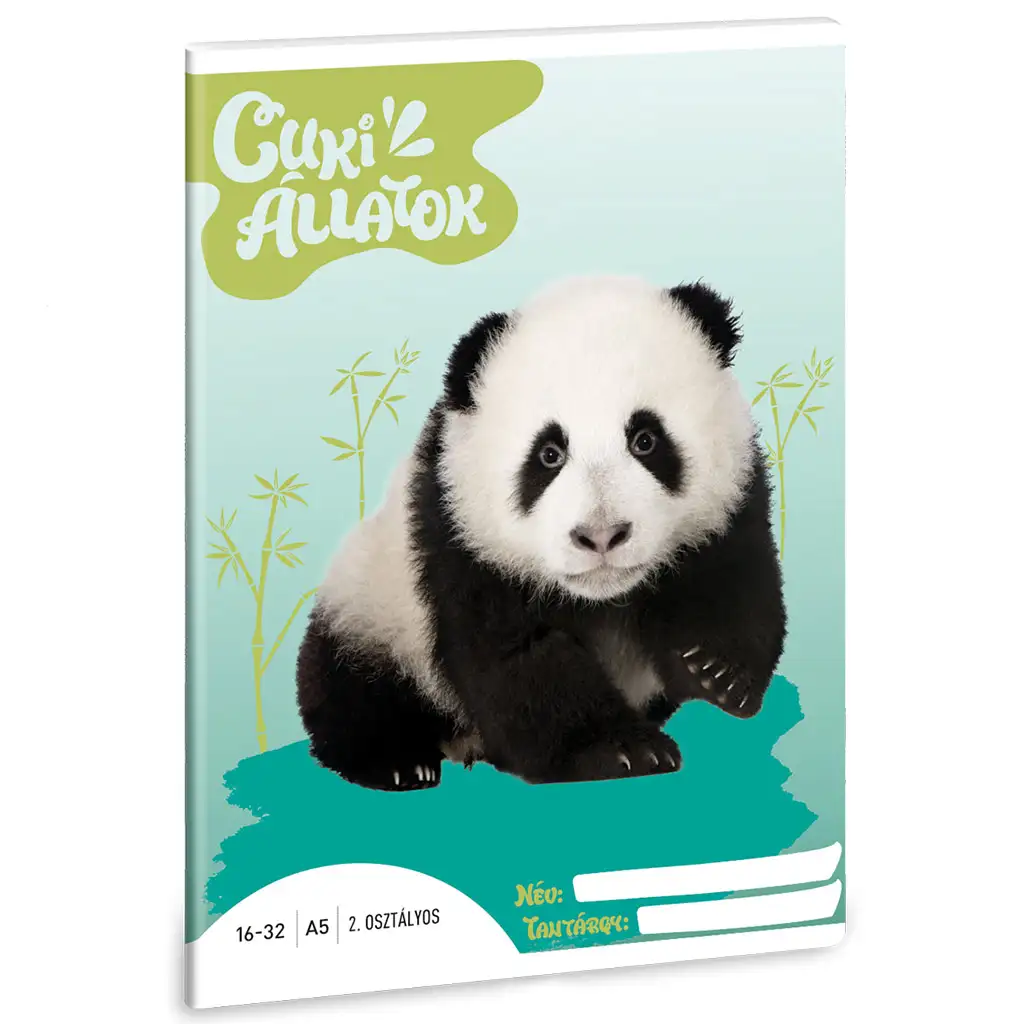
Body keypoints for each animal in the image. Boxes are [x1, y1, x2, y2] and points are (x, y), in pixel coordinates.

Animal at [297, 275, 786, 790]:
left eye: (646, 440)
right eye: (549, 454)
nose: (601, 537)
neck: (602, 598)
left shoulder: (732, 502)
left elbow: (733, 579)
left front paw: (715, 673)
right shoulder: (459, 536)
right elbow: (518, 660)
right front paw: (622, 749)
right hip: (372, 610)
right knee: (350, 687)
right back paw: (400, 762)